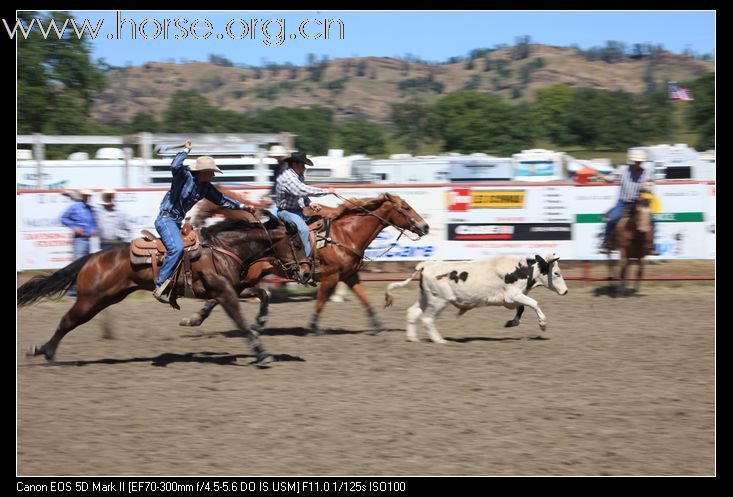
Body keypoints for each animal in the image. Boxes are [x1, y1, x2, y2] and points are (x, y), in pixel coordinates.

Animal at [16, 215, 308, 362]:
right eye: (296, 243)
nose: (305, 272)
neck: (223, 249)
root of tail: (94, 257)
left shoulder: (232, 290)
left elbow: (263, 294)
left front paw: (261, 323)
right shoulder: (225, 293)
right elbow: (239, 319)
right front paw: (261, 352)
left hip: (106, 298)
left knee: (69, 321)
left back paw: (44, 350)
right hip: (91, 299)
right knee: (67, 321)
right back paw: (46, 352)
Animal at [180, 192, 428, 336]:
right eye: (406, 208)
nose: (424, 227)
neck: (345, 235)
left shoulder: (350, 276)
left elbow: (365, 299)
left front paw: (377, 326)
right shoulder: (330, 277)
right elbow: (321, 302)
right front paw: (313, 327)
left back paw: (197, 318)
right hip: (248, 275)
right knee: (225, 294)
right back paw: (198, 318)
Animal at [386, 254, 568, 342]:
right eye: (556, 273)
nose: (566, 291)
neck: (521, 270)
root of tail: (426, 265)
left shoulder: (512, 298)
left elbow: (522, 307)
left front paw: (511, 322)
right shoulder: (513, 294)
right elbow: (533, 303)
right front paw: (543, 324)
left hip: (425, 297)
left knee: (412, 312)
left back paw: (412, 338)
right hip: (439, 300)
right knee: (427, 319)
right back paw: (439, 340)